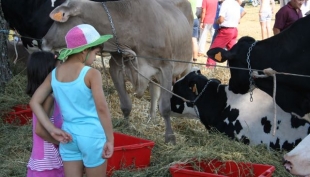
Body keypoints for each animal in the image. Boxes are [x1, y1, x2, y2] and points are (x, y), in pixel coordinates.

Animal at [40, 0, 193, 144]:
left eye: (59, 20)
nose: (43, 42)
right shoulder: (115, 67)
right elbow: (125, 104)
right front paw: (127, 127)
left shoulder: (165, 67)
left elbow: (165, 106)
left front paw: (170, 137)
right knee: (154, 92)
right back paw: (151, 118)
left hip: (186, 67)